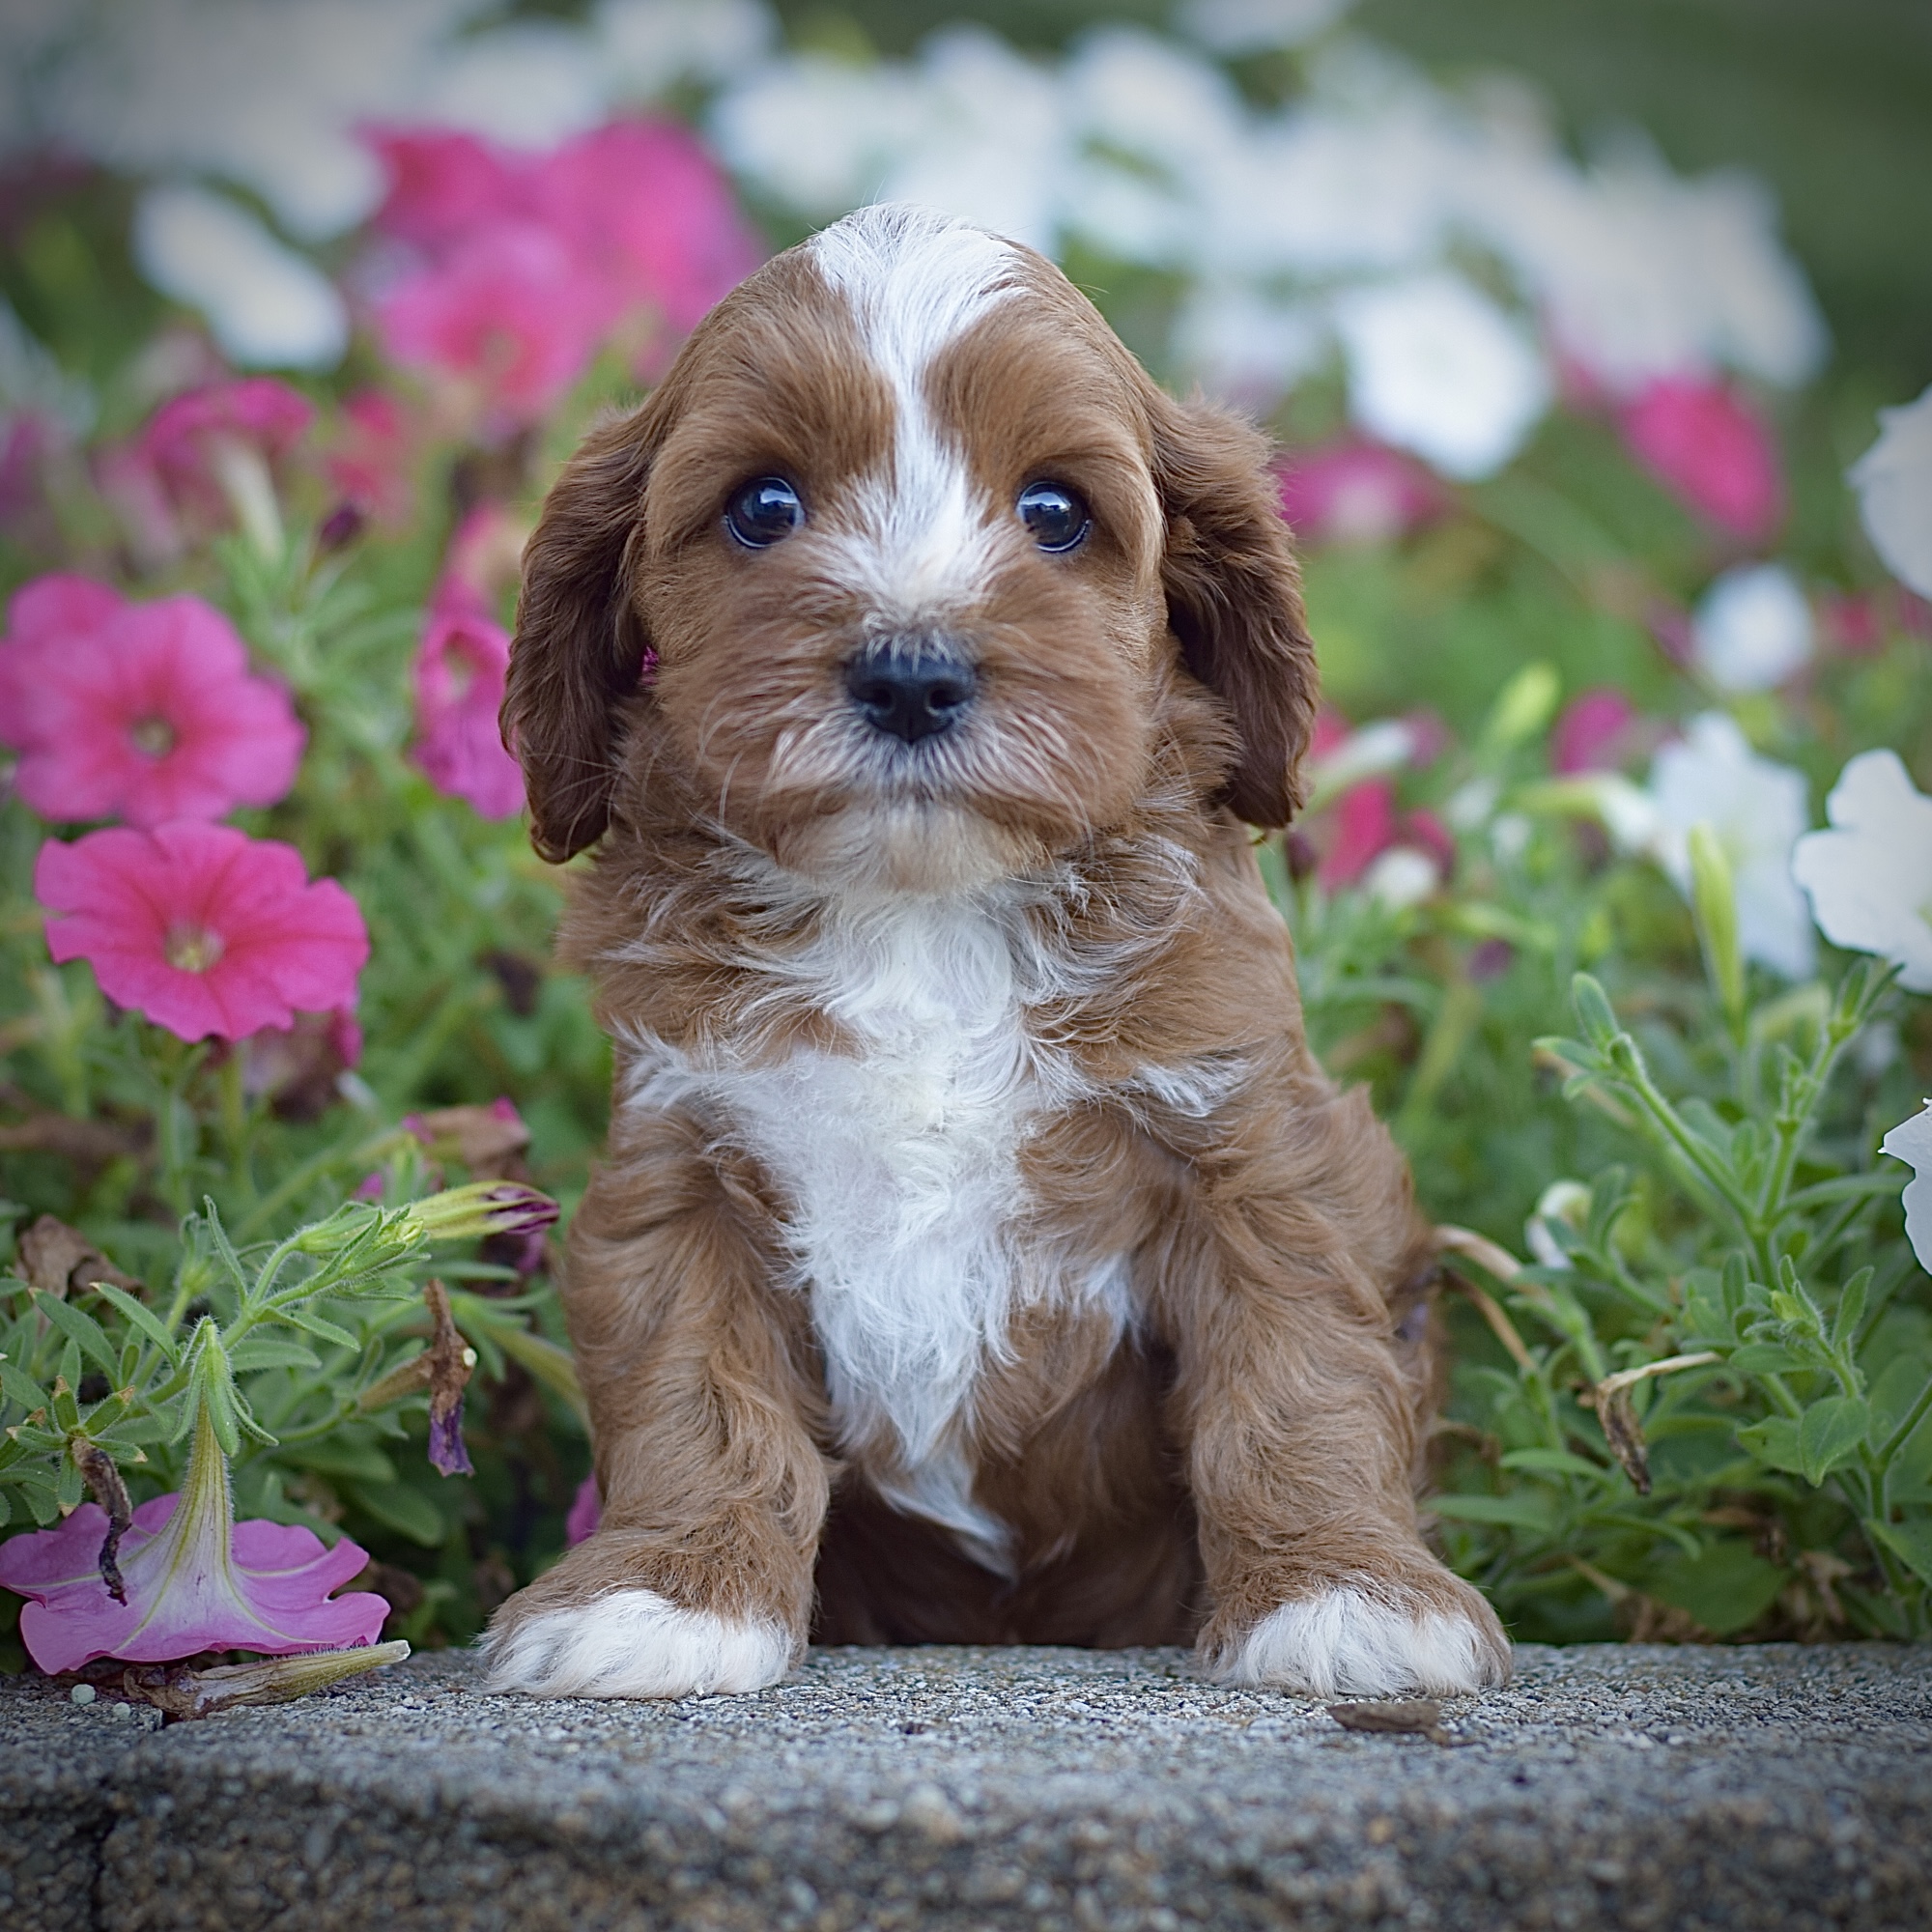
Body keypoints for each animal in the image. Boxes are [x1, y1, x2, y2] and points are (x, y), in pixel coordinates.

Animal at [483, 204, 1507, 1700]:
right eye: (764, 506)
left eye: (1054, 511)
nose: (911, 672)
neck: (921, 912)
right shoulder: (679, 1171)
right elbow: (695, 1396)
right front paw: (664, 1597)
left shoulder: (1255, 1155)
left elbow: (1296, 1375)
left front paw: (1346, 1592)